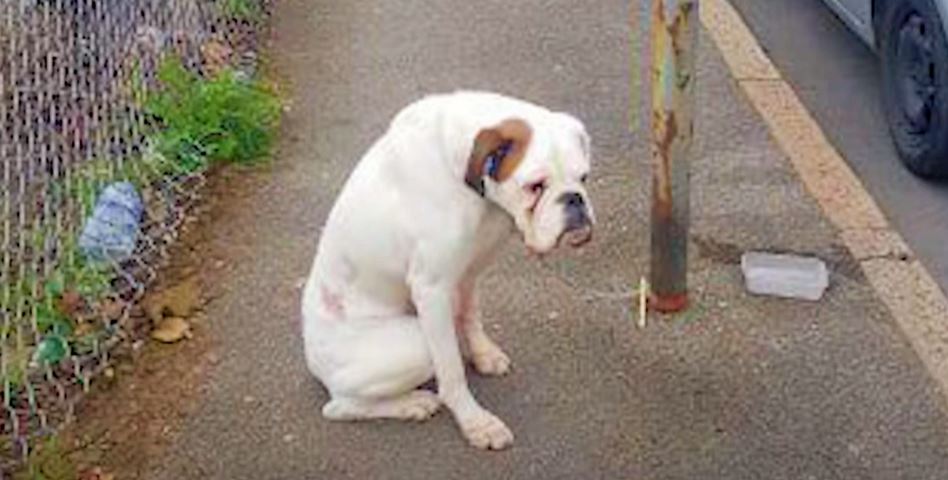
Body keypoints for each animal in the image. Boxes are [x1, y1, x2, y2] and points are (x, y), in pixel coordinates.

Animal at [302, 90, 592, 450]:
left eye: (584, 178)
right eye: (535, 186)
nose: (575, 199)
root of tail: (313, 358)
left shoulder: (469, 270)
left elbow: (470, 314)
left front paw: (483, 354)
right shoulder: (432, 290)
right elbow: (451, 369)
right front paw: (476, 422)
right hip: (412, 345)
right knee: (340, 405)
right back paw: (412, 403)